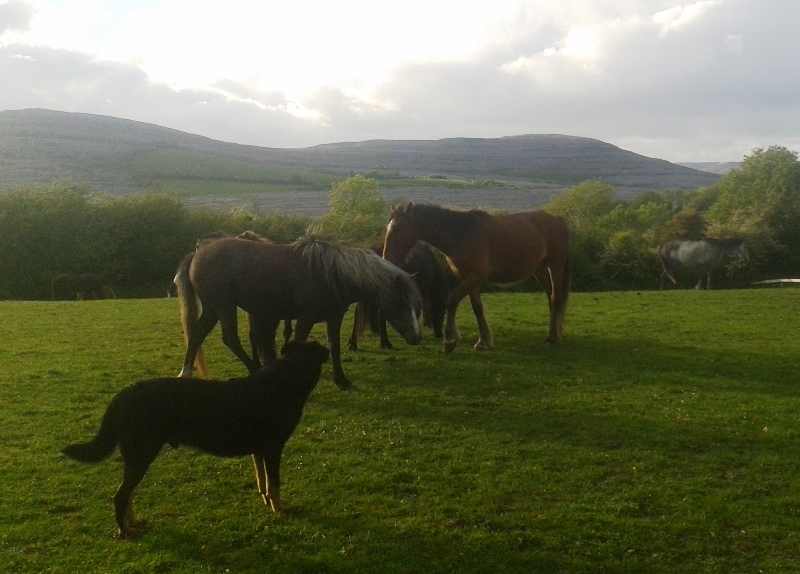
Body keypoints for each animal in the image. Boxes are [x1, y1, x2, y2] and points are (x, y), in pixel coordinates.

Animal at [175, 235, 422, 390]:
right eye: (401, 304)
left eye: (416, 306)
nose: (417, 338)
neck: (330, 274)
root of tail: (197, 255)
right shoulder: (305, 318)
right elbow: (296, 342)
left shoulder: (334, 318)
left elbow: (334, 347)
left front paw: (342, 380)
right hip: (224, 306)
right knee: (230, 339)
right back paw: (256, 370)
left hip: (212, 308)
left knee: (197, 334)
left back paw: (185, 372)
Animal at [382, 202, 571, 353]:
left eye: (397, 229)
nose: (386, 259)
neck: (461, 235)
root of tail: (557, 220)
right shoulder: (469, 279)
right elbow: (477, 308)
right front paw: (484, 341)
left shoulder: (475, 278)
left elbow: (452, 302)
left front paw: (450, 340)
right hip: (539, 270)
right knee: (551, 297)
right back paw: (555, 332)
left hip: (555, 266)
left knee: (556, 298)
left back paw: (552, 338)